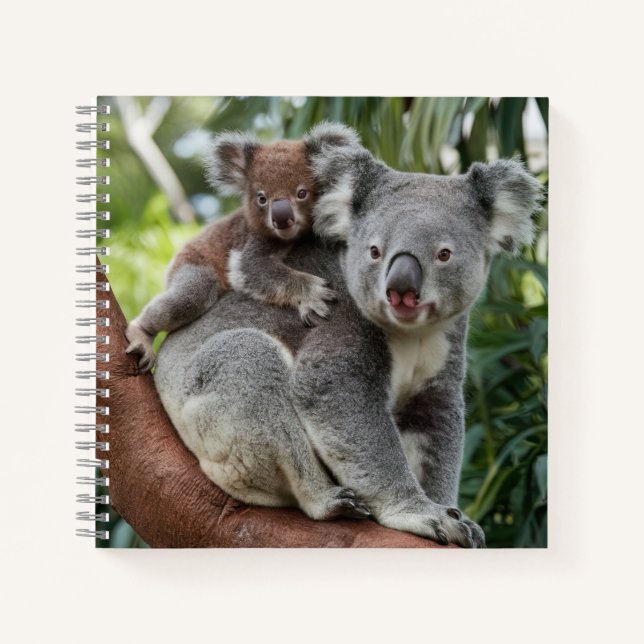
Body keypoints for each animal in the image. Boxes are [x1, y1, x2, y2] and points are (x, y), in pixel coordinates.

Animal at [125, 123, 359, 372]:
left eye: (302, 193)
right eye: (261, 198)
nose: (281, 218)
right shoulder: (253, 242)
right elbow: (252, 269)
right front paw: (315, 293)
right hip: (191, 265)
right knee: (189, 295)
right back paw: (141, 334)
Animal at [152, 123, 543, 547]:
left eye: (444, 255)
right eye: (374, 251)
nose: (400, 288)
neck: (411, 333)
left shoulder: (442, 359)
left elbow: (433, 429)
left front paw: (456, 516)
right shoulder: (338, 324)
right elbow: (338, 399)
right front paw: (422, 514)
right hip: (213, 414)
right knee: (250, 366)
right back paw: (326, 501)